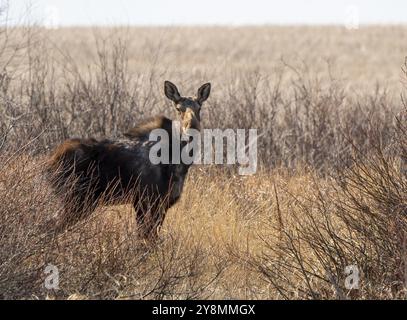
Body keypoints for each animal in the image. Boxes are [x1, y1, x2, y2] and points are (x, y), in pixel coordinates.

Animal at [48, 81, 210, 239]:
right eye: (178, 109)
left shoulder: (163, 203)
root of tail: (50, 162)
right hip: (77, 200)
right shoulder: (144, 200)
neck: (180, 164)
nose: (192, 129)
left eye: (199, 107)